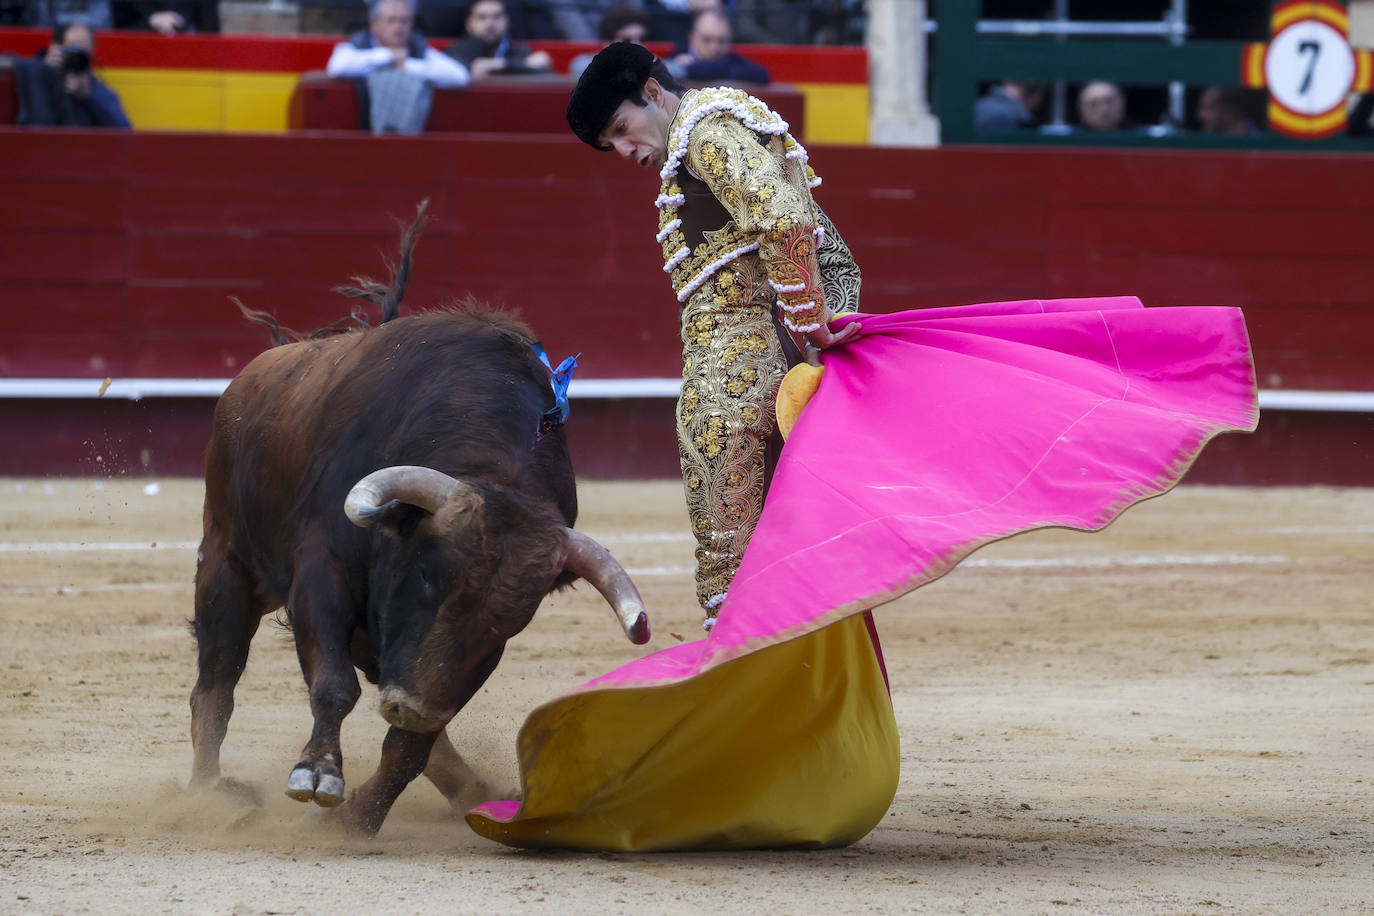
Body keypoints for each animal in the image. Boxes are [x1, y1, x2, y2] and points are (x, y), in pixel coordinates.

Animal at [186, 207, 648, 840]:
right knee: (216, 684)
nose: (410, 705)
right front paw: (317, 775)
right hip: (227, 565)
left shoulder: (467, 654)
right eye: (430, 576)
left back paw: (469, 788)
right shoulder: (322, 573)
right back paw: (210, 795)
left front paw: (358, 817)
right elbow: (333, 685)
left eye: (512, 617)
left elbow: (413, 743)